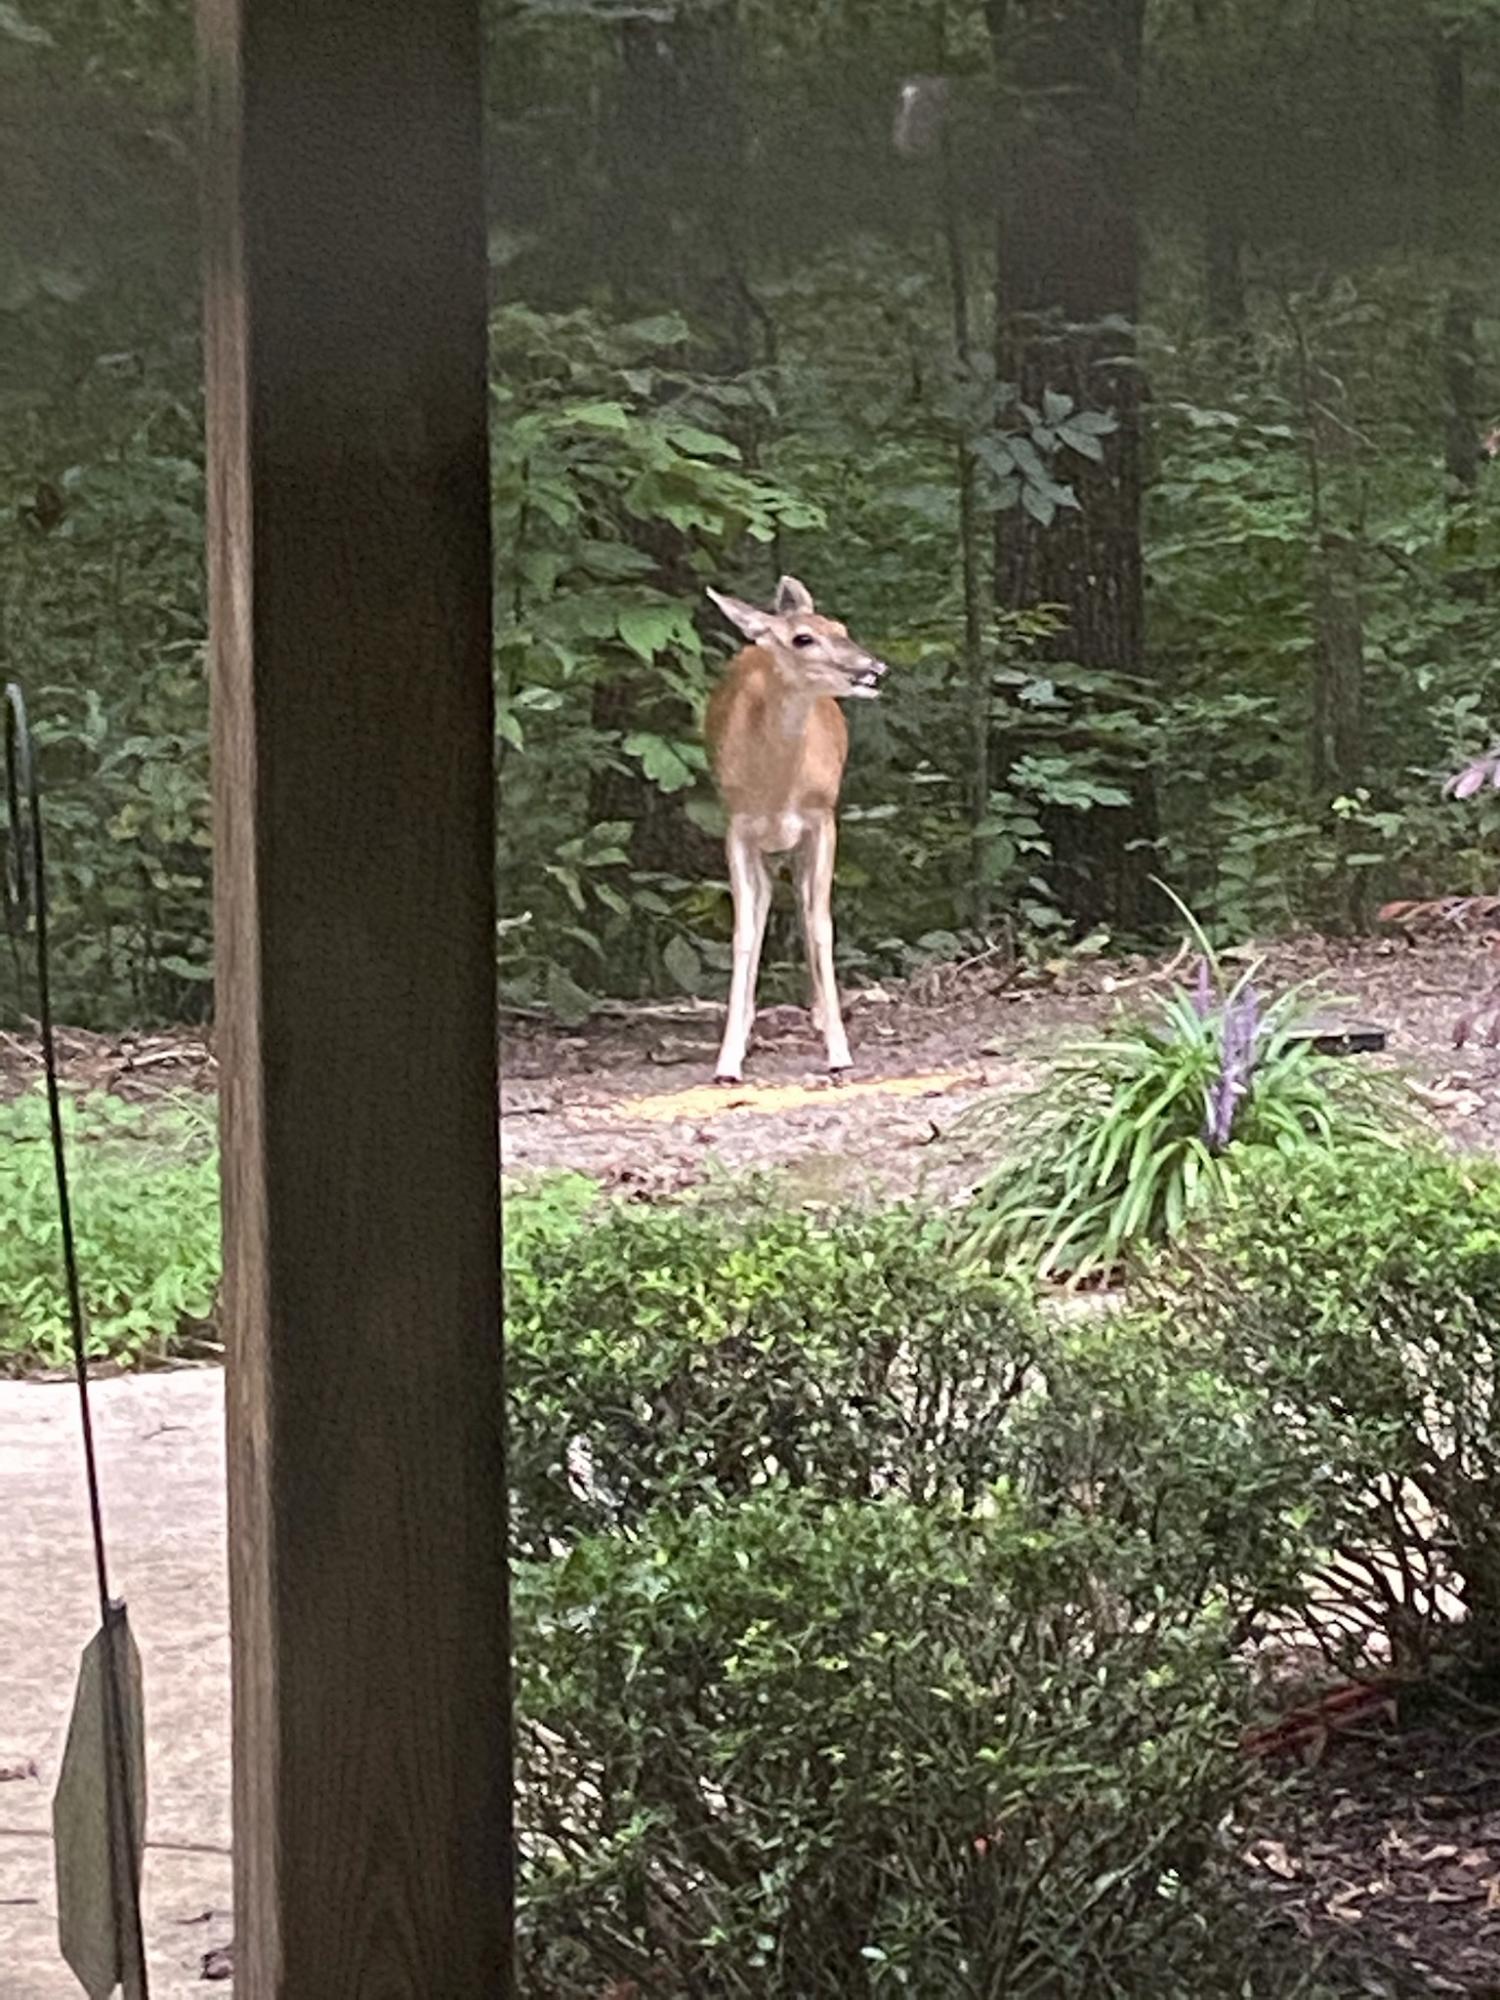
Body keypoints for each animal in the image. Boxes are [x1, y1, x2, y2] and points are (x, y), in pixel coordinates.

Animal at [702, 575, 888, 1084]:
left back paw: (822, 1015)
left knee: (805, 910)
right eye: (803, 638)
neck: (778, 786)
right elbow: (744, 932)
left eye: (841, 627)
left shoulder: (822, 818)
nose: (874, 667)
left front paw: (839, 1052)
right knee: (767, 904)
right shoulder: (737, 825)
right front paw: (727, 1060)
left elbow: (820, 924)